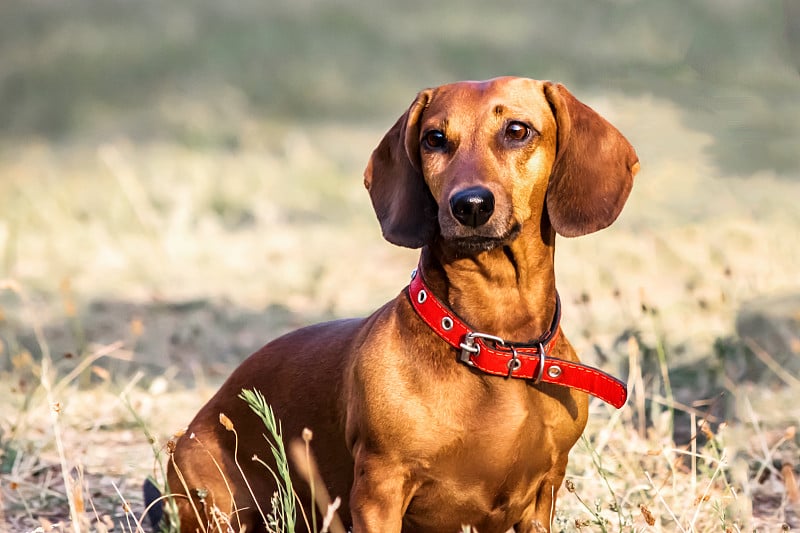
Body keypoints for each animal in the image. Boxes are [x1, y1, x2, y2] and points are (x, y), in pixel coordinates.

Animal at [167, 76, 636, 532]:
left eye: (517, 131)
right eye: (434, 138)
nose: (469, 205)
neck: (493, 346)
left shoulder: (544, 494)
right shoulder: (380, 490)